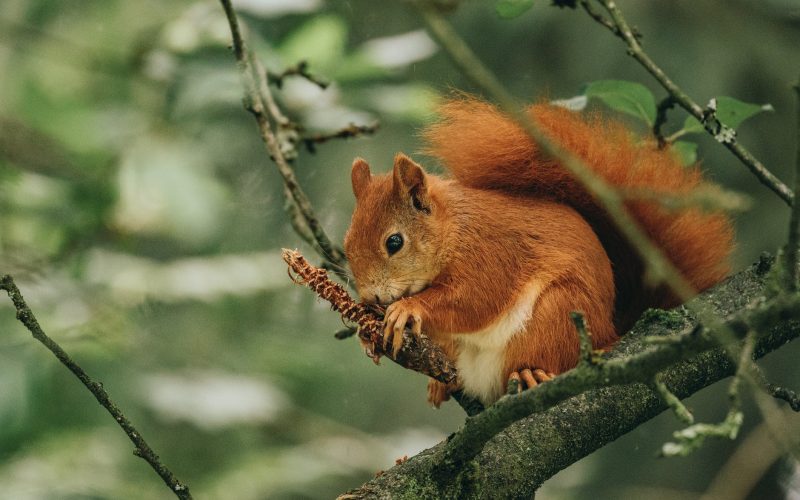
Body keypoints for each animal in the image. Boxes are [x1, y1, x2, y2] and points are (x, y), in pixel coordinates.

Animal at [340, 96, 736, 406]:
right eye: (346, 244)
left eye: (394, 242)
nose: (370, 296)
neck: (452, 230)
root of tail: (610, 331)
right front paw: (367, 331)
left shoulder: (491, 254)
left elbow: (475, 299)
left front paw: (408, 308)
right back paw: (441, 383)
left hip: (558, 314)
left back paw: (531, 372)